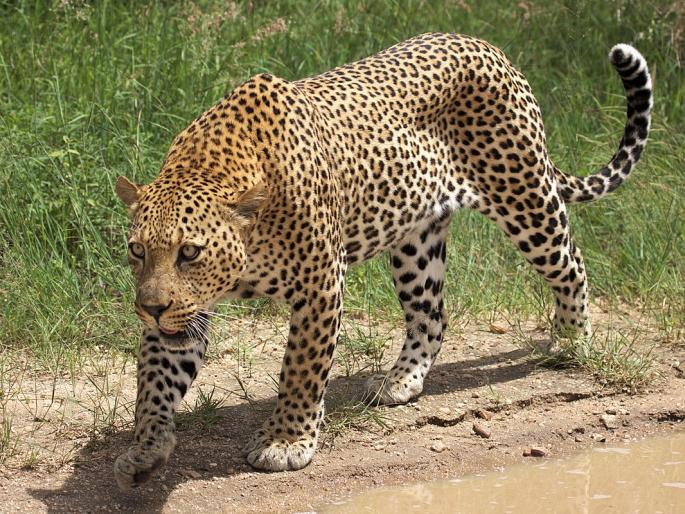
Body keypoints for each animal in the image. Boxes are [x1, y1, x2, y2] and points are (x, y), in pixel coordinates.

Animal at [113, 33, 652, 489]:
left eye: (190, 252)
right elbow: (155, 379)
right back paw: (400, 381)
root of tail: (488, 46)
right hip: (416, 242)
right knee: (432, 315)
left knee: (572, 264)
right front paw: (147, 446)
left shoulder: (320, 285)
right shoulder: (187, 311)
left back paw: (571, 340)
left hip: (525, 199)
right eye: (138, 250)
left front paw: (287, 440)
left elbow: (301, 368)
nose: (150, 309)